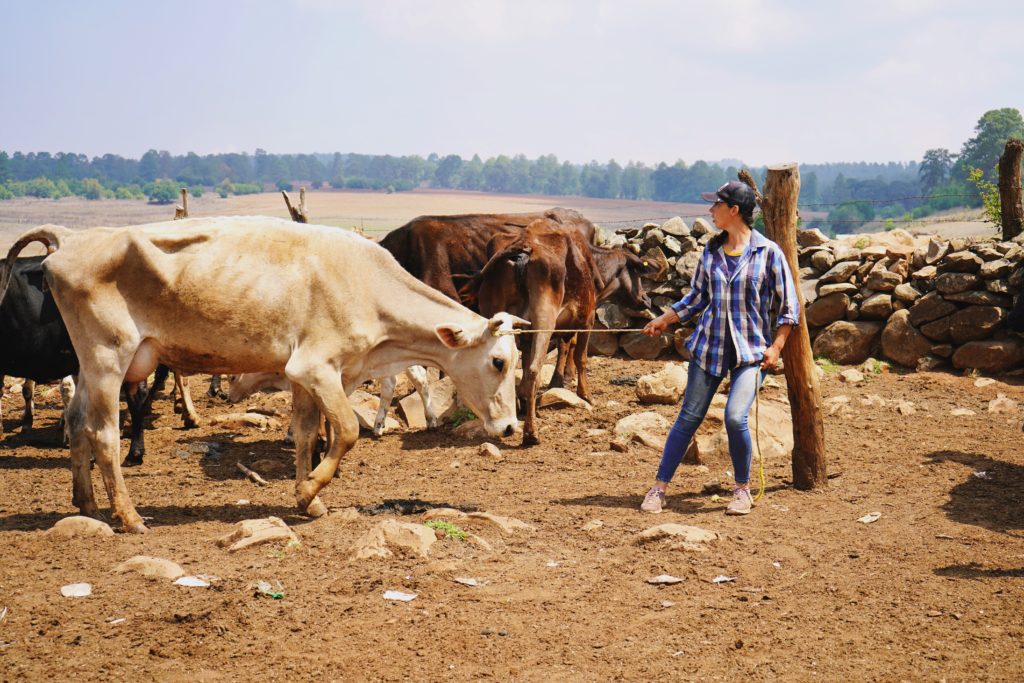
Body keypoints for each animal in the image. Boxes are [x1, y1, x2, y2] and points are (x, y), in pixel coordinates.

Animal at [0, 219, 524, 532]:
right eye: (498, 361)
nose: (510, 428)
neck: (368, 287)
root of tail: (71, 239)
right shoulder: (317, 367)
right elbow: (346, 431)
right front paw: (311, 490)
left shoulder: (308, 377)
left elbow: (309, 434)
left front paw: (307, 499)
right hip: (110, 358)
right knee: (104, 433)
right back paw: (129, 517)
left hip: (90, 365)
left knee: (75, 422)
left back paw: (88, 505)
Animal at [460, 222, 598, 448]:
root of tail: (523, 250)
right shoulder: (588, 318)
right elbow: (581, 358)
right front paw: (586, 395)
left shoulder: (525, 334)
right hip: (545, 319)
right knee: (534, 369)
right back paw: (531, 433)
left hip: (495, 318)